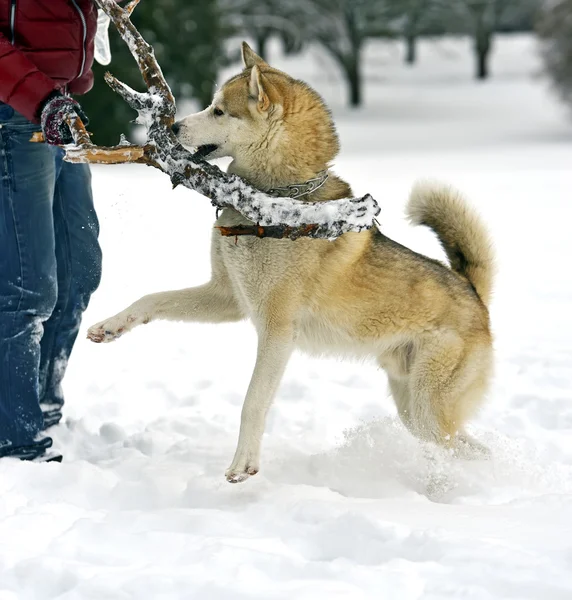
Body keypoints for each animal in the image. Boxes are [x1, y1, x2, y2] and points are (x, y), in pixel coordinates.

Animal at [87, 42, 494, 482]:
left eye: (219, 111)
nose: (174, 128)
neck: (276, 201)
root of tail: (473, 292)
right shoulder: (228, 298)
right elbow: (152, 299)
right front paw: (110, 327)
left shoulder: (277, 331)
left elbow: (252, 402)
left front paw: (243, 465)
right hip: (414, 408)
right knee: (472, 447)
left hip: (427, 407)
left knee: (457, 447)